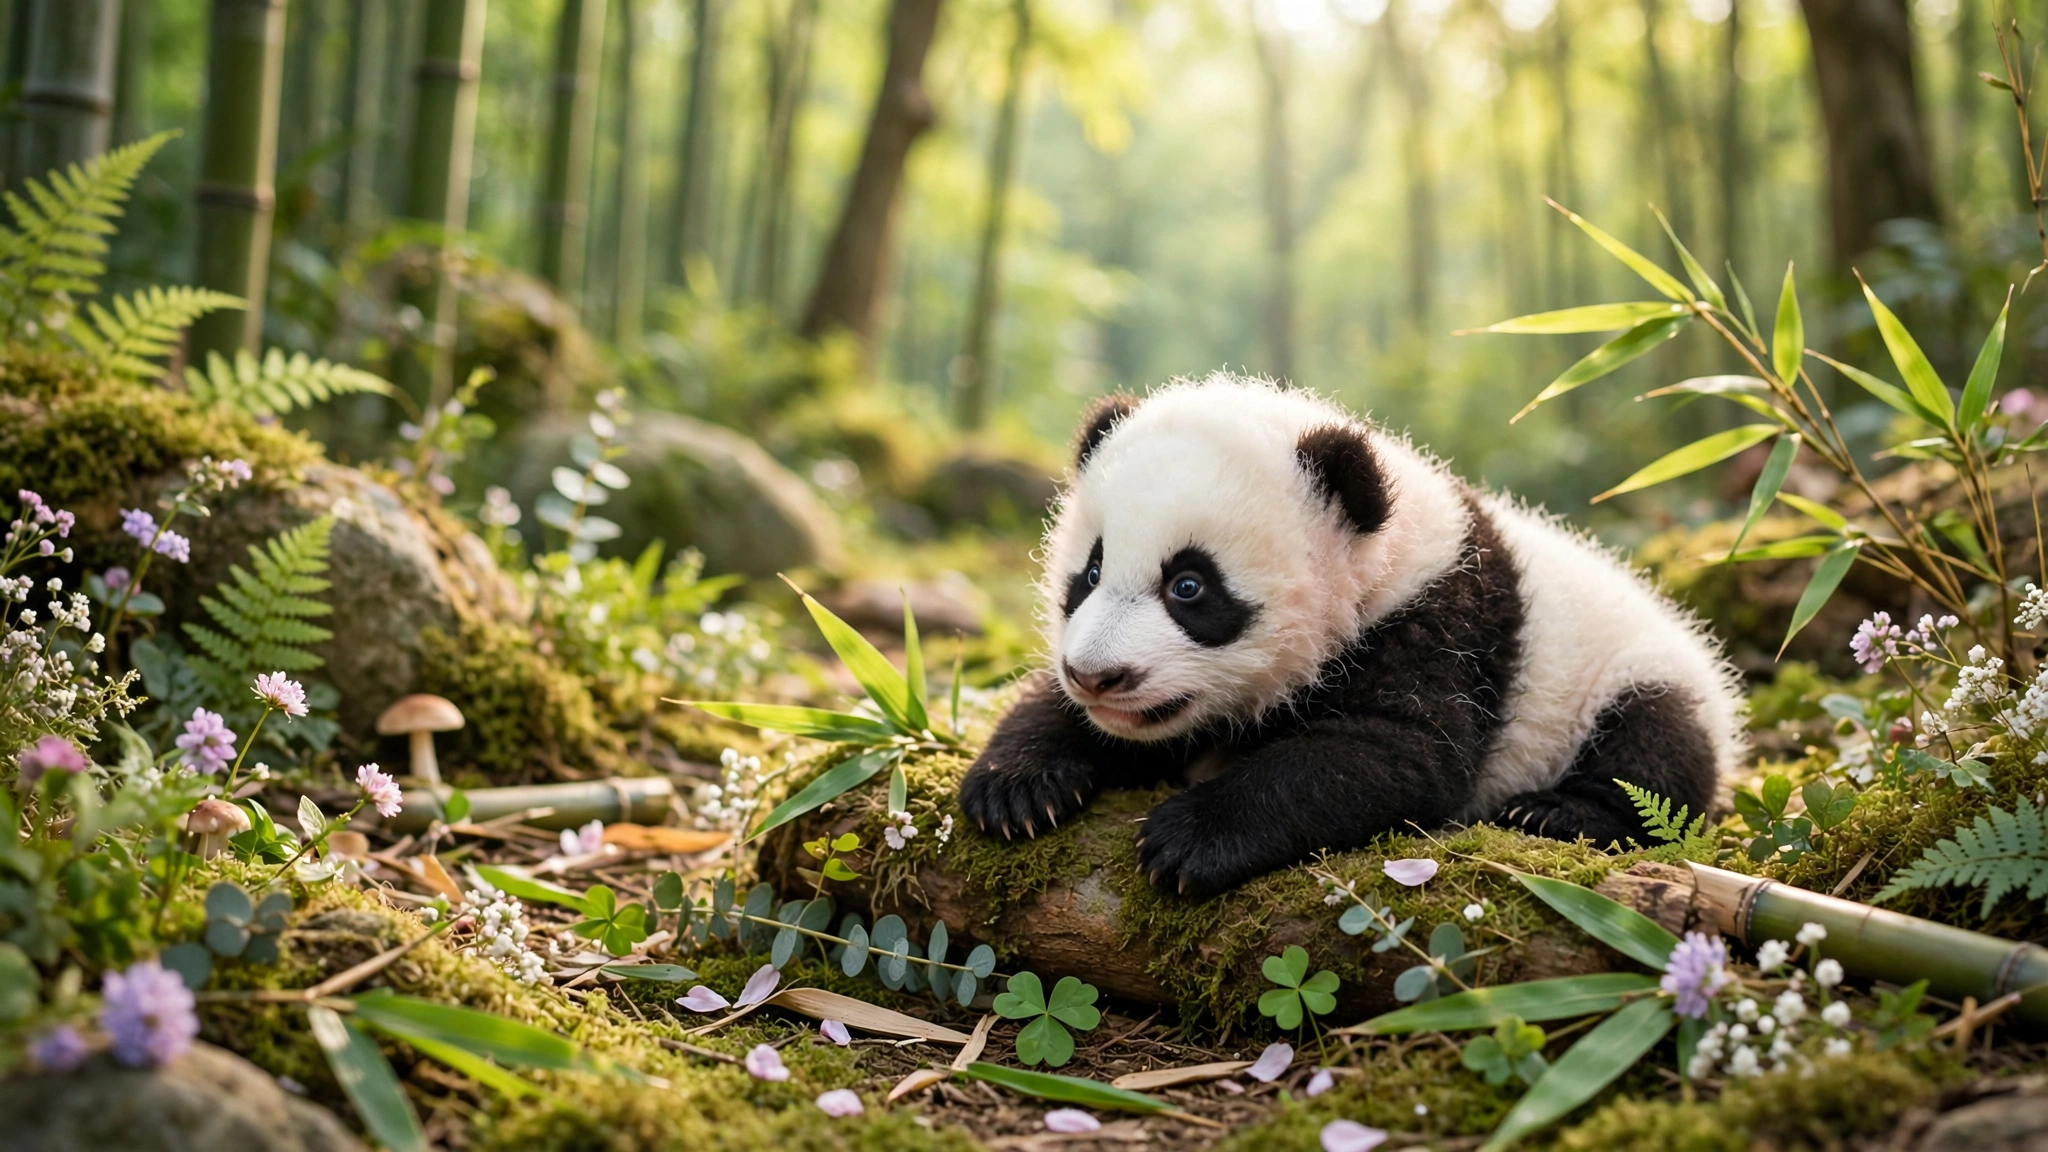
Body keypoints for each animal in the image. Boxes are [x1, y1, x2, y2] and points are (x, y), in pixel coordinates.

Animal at [957, 373, 1746, 898]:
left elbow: (1391, 754)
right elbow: (1050, 709)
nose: (1098, 676)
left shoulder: (1440, 626)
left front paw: (1187, 837)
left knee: (1655, 753)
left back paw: (1554, 811)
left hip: (1640, 673)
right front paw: (1015, 788)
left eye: (1189, 587)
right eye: (1088, 573)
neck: (1384, 563)